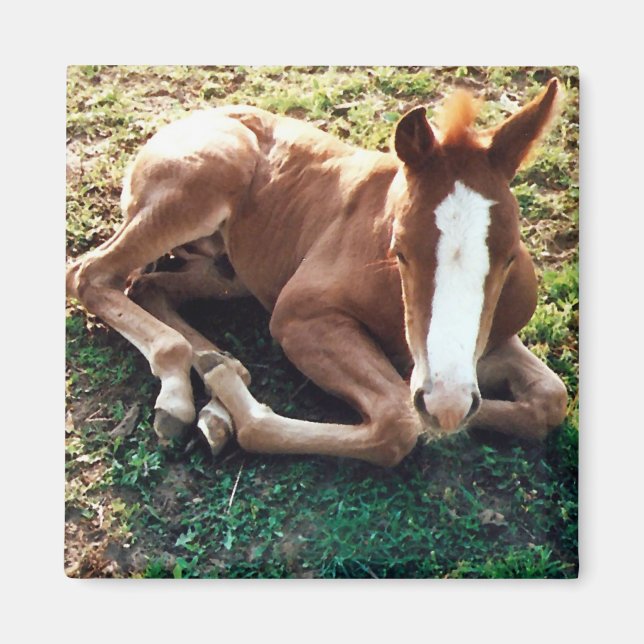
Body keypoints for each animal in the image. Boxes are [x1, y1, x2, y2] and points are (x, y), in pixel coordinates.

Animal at [66, 78, 568, 467]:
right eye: (400, 250)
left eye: (509, 256)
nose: (446, 405)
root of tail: (187, 120)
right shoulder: (300, 316)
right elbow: (397, 420)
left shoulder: (485, 342)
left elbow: (551, 399)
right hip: (207, 179)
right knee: (89, 274)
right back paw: (184, 395)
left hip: (233, 275)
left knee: (147, 286)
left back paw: (215, 385)